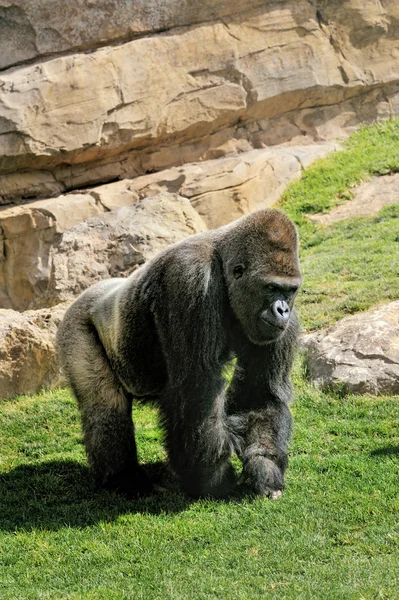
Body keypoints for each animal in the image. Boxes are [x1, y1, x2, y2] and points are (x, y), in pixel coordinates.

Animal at [55, 209, 300, 500]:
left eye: (290, 290)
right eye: (271, 288)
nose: (282, 310)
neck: (222, 264)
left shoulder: (281, 325)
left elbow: (259, 394)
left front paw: (264, 467)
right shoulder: (191, 278)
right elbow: (196, 389)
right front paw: (212, 479)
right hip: (75, 325)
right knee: (104, 406)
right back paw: (124, 480)